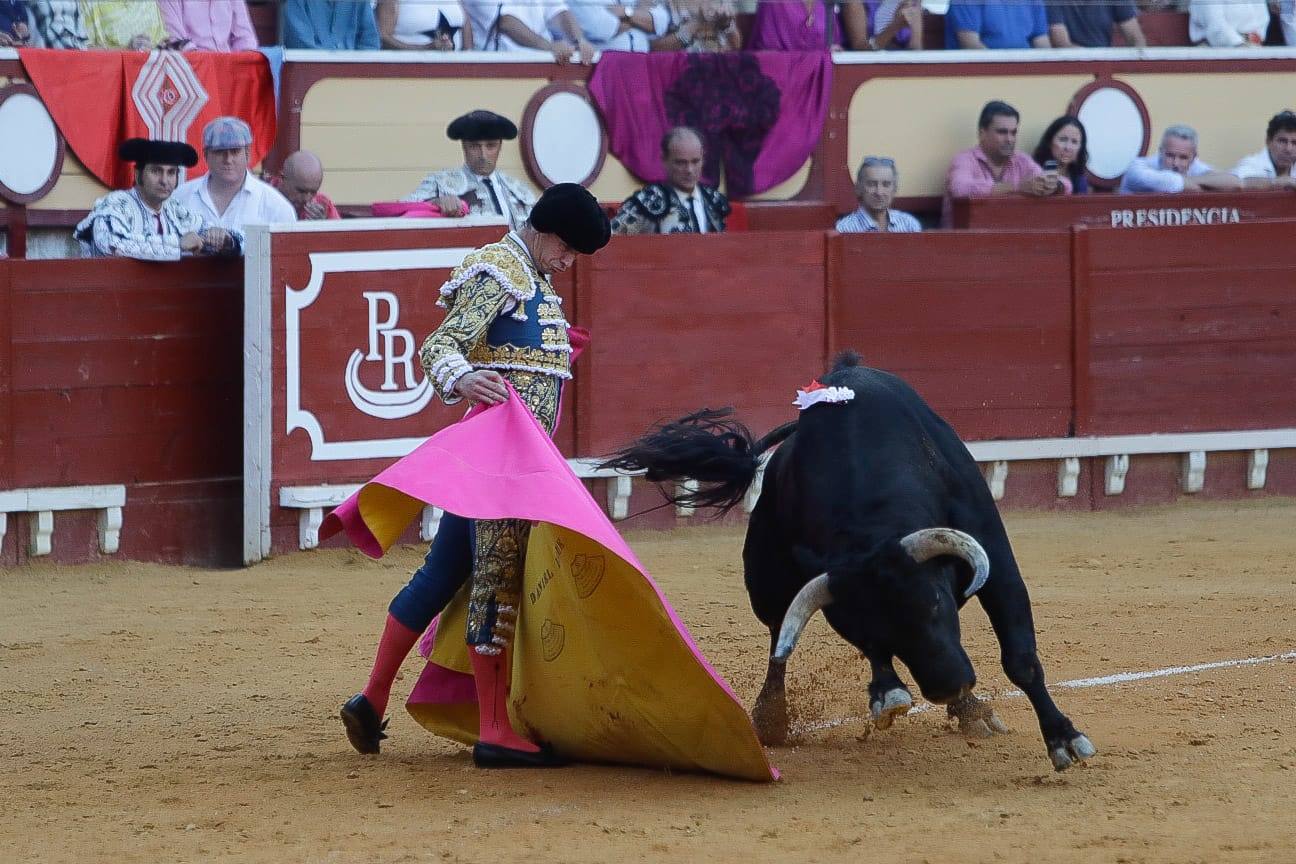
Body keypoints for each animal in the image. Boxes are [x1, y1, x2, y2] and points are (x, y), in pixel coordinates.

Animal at [603, 354, 1093, 772]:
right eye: (874, 629)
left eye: (936, 602)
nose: (948, 685)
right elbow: (861, 650)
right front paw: (889, 693)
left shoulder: (996, 559)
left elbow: (1021, 658)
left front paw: (1064, 740)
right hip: (765, 581)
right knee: (777, 637)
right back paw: (778, 717)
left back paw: (969, 711)